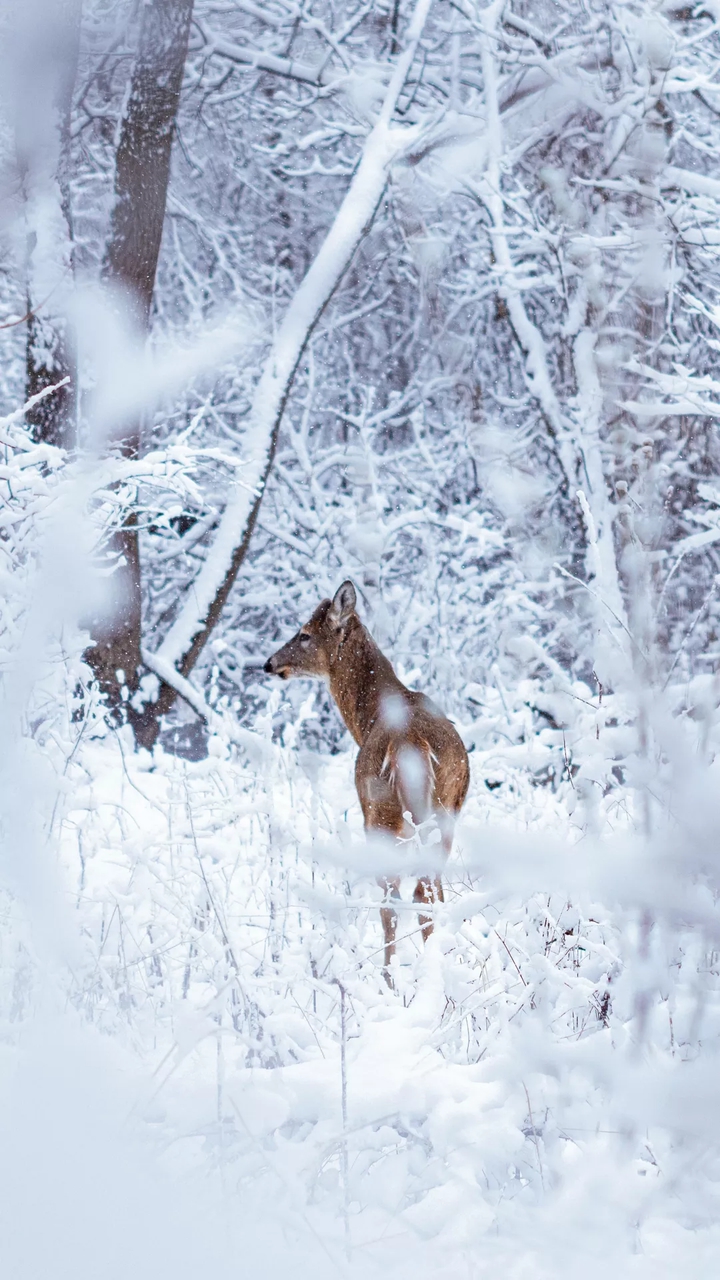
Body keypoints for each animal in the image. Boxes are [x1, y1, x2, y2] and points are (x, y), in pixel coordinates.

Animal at [263, 581, 470, 983]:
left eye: (305, 634)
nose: (270, 663)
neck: (368, 718)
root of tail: (409, 744)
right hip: (442, 811)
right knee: (430, 889)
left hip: (380, 813)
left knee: (397, 898)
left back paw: (390, 977)